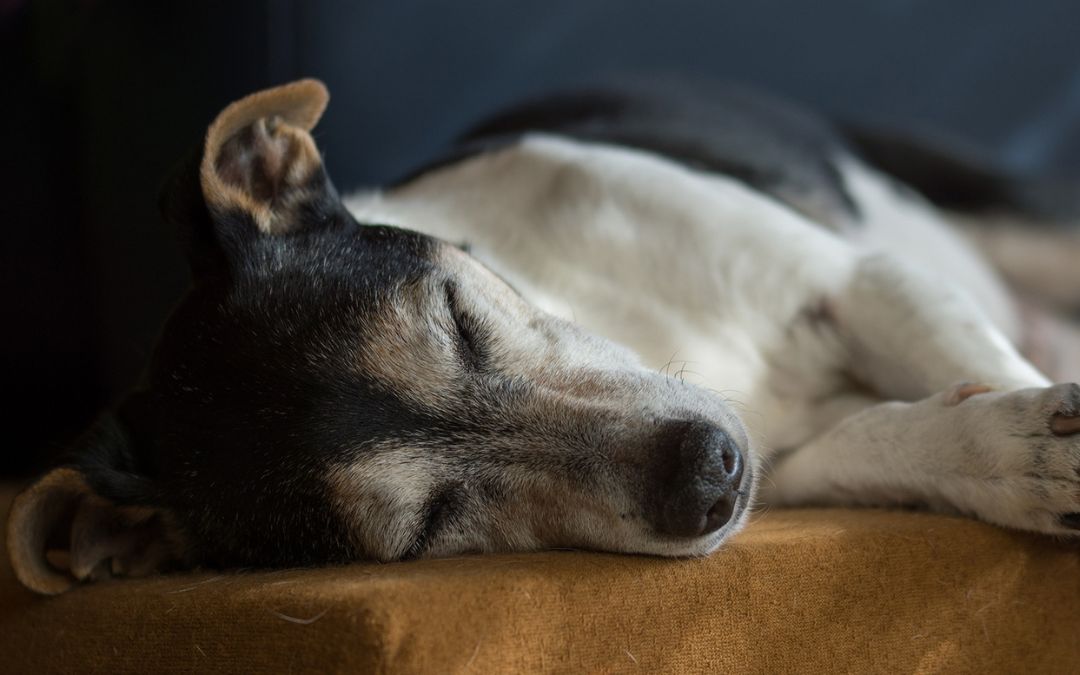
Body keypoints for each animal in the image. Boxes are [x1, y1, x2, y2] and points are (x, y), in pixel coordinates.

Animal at [8, 77, 1080, 596]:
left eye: (456, 313)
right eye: (428, 526)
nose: (709, 472)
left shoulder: (860, 283)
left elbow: (974, 363)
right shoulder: (796, 467)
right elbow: (890, 438)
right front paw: (1017, 455)